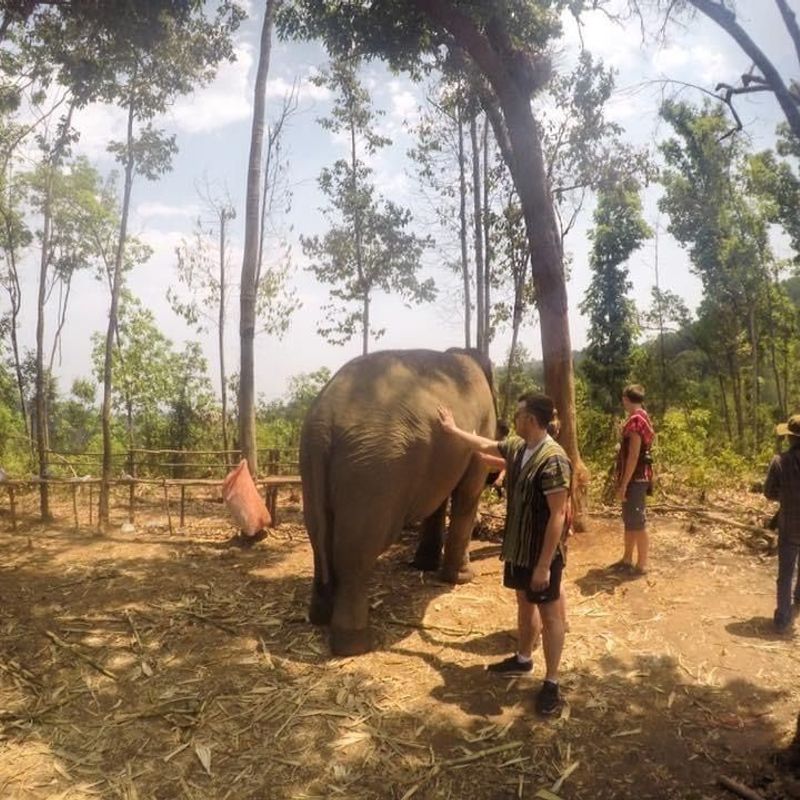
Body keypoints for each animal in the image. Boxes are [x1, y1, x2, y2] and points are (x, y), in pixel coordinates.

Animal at [300, 348, 496, 656]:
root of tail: (323, 423)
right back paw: (354, 644)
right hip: (374, 471)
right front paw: (464, 578)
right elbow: (468, 491)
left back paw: (319, 617)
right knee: (356, 550)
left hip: (312, 462)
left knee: (318, 536)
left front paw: (424, 566)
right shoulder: (482, 428)